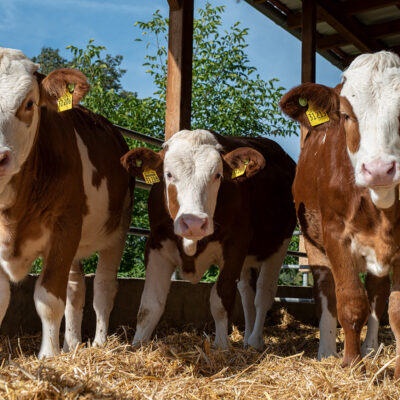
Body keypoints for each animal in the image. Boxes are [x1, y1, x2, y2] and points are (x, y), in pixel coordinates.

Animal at [0, 47, 134, 360]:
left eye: (29, 103)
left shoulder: (64, 227)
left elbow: (48, 298)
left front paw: (49, 356)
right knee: (76, 289)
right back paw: (72, 344)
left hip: (117, 230)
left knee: (103, 287)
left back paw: (99, 343)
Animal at [120, 130, 296, 348]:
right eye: (168, 174)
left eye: (217, 175)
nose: (194, 222)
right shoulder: (156, 245)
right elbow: (150, 305)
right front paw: (138, 345)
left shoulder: (234, 247)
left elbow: (220, 301)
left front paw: (221, 347)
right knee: (247, 294)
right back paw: (247, 339)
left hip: (279, 245)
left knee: (263, 294)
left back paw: (255, 341)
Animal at [280, 50, 400, 378]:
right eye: (346, 114)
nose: (379, 169)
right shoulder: (336, 236)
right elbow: (350, 301)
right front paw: (352, 364)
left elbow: (394, 308)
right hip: (314, 245)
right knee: (326, 293)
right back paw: (327, 352)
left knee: (377, 293)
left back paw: (372, 348)